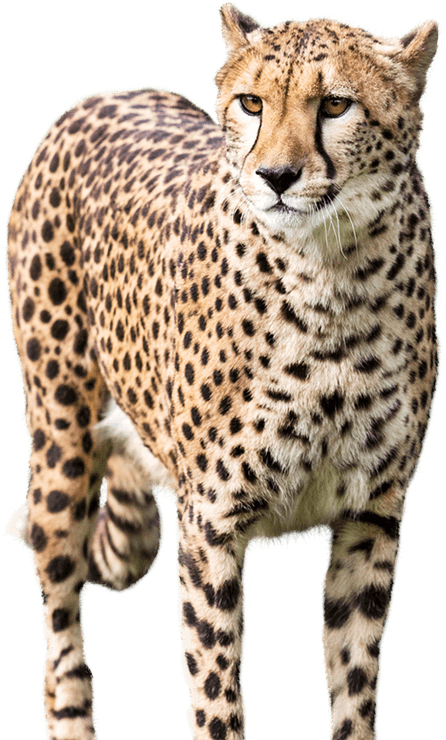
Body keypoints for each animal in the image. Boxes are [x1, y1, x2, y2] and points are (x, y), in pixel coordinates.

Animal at [5, 3, 441, 739]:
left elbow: (355, 684)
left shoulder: (371, 515)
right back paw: (69, 715)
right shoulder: (211, 522)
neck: (333, 274)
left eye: (335, 104)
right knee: (60, 614)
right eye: (252, 103)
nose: (276, 176)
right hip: (61, 437)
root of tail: (105, 95)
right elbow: (215, 692)